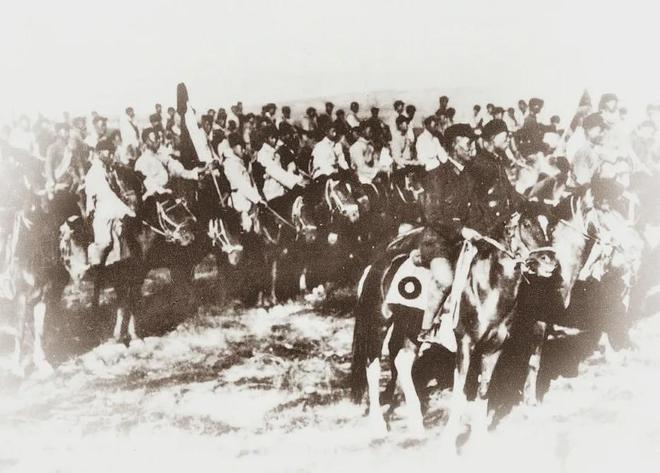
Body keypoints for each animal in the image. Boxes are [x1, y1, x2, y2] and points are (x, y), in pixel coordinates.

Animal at [349, 202, 558, 441]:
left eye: (549, 226)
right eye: (526, 224)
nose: (550, 261)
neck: (487, 287)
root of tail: (376, 265)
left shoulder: (495, 347)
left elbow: (484, 390)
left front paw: (479, 437)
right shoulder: (465, 344)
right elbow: (459, 391)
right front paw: (450, 440)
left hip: (410, 328)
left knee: (402, 362)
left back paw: (417, 425)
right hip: (378, 324)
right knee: (372, 367)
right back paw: (379, 425)